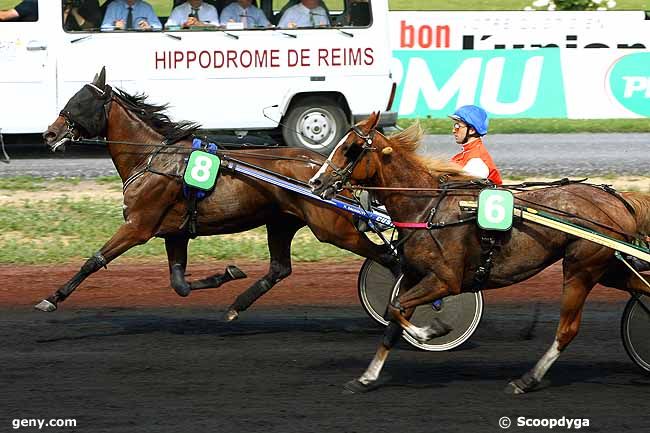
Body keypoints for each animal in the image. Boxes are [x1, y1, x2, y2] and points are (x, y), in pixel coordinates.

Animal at [39, 67, 394, 318]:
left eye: (79, 103)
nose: (49, 134)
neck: (152, 158)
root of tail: (326, 170)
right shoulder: (174, 233)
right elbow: (180, 284)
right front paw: (227, 273)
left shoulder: (138, 226)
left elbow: (94, 261)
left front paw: (52, 298)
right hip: (281, 221)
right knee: (280, 268)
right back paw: (237, 305)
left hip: (331, 228)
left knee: (388, 257)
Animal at [308, 112, 648, 394]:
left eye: (351, 148)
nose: (316, 182)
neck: (428, 209)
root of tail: (619, 200)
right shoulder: (415, 275)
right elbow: (392, 317)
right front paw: (366, 378)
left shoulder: (446, 281)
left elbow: (397, 309)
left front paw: (432, 331)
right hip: (606, 268)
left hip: (581, 268)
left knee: (567, 330)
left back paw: (527, 379)